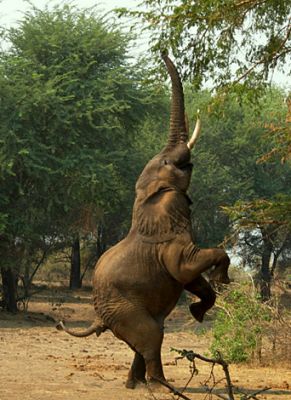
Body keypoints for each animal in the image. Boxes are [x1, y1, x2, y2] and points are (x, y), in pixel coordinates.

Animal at [56, 52, 230, 390]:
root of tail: (98, 316)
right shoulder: (171, 231)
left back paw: (135, 384)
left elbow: (190, 278)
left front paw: (199, 310)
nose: (162, 50)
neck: (148, 193)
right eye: (170, 162)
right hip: (124, 309)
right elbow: (186, 266)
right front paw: (221, 280)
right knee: (151, 337)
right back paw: (161, 386)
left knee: (146, 338)